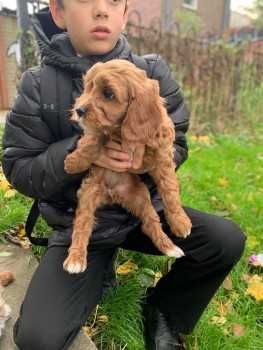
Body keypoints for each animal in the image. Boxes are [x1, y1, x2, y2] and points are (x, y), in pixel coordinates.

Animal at [64, 59, 192, 274]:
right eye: (88, 87)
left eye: (108, 93)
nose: (79, 110)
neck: (121, 130)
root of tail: (112, 194)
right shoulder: (100, 131)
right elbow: (92, 141)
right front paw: (73, 162)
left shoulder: (162, 155)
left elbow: (169, 189)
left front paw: (180, 222)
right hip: (89, 193)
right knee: (83, 224)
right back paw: (76, 260)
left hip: (141, 198)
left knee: (150, 223)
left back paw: (170, 247)